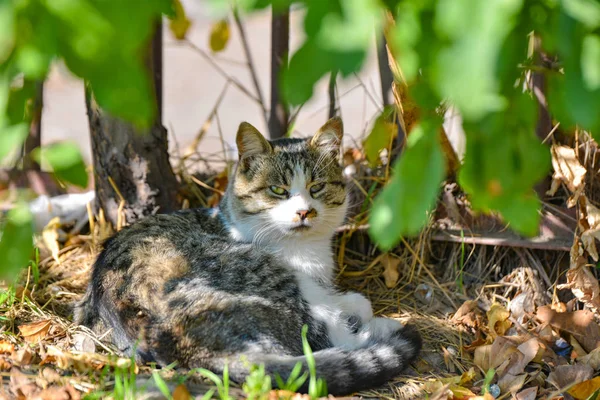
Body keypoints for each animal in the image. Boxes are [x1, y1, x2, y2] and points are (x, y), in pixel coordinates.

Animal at [75, 117, 422, 396]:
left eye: (317, 187)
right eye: (278, 190)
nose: (304, 211)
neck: (304, 249)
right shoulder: (301, 282)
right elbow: (336, 313)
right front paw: (356, 309)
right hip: (266, 275)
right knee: (323, 340)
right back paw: (381, 329)